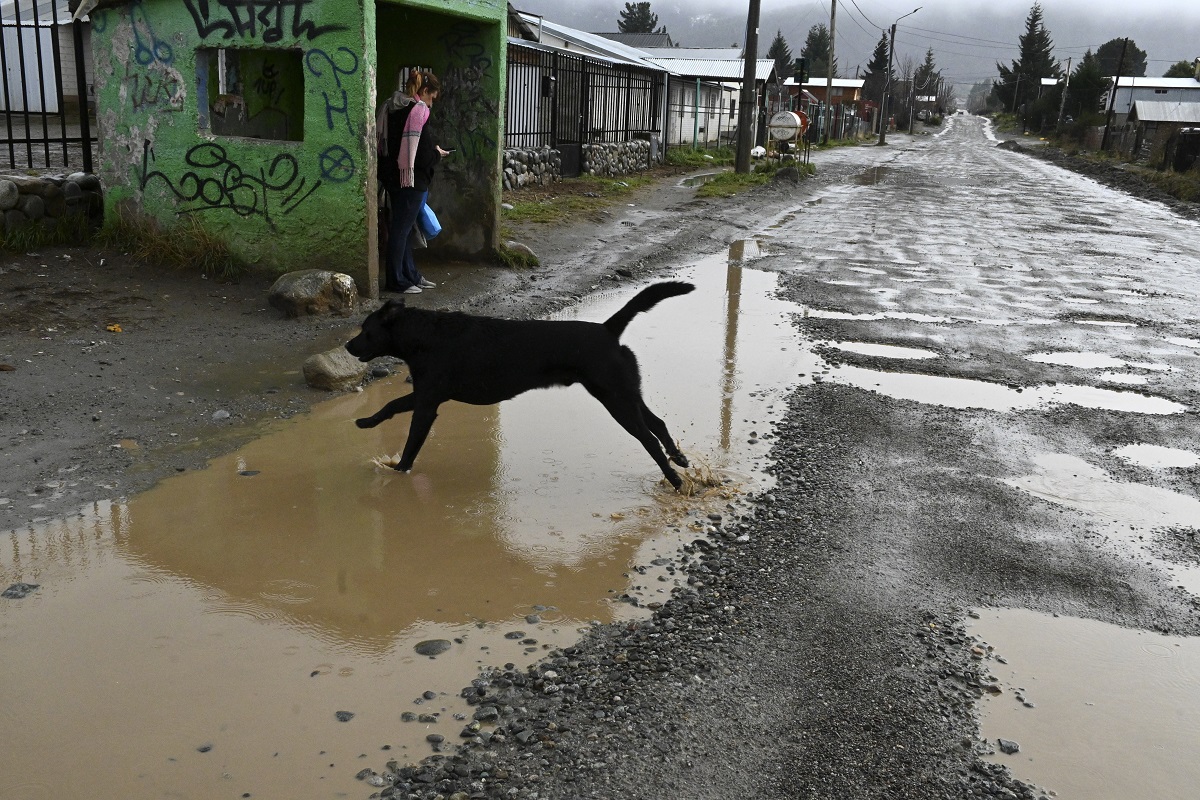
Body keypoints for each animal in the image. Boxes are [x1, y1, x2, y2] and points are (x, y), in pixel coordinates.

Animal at [345, 284, 696, 491]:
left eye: (365, 329)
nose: (348, 345)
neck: (425, 335)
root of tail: (608, 329)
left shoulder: (428, 403)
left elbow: (411, 444)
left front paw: (398, 471)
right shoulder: (427, 394)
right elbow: (391, 405)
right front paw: (366, 421)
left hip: (616, 400)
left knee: (649, 439)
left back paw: (675, 479)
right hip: (625, 394)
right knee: (658, 424)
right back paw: (679, 458)